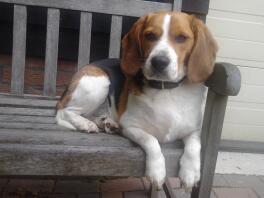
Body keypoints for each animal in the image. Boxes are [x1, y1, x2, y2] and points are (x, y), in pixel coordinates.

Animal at [55, 11, 217, 189]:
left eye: (182, 38)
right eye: (150, 35)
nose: (159, 61)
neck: (165, 89)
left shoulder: (193, 129)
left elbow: (194, 145)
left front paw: (190, 172)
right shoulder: (131, 127)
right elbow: (151, 140)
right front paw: (157, 171)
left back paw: (106, 123)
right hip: (99, 82)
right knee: (65, 111)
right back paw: (86, 124)